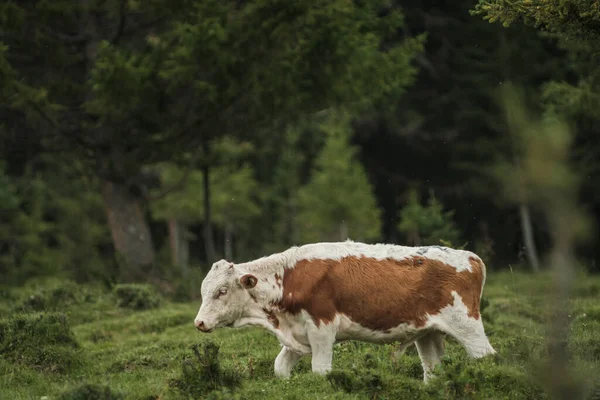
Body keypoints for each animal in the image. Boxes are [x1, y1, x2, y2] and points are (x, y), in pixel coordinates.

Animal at [193, 241, 496, 382]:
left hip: (466, 324)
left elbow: (320, 371)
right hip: (428, 332)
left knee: (486, 357)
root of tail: (470, 256)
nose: (199, 322)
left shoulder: (321, 328)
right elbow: (280, 368)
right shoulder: (296, 332)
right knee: (433, 371)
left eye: (222, 291)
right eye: (204, 290)